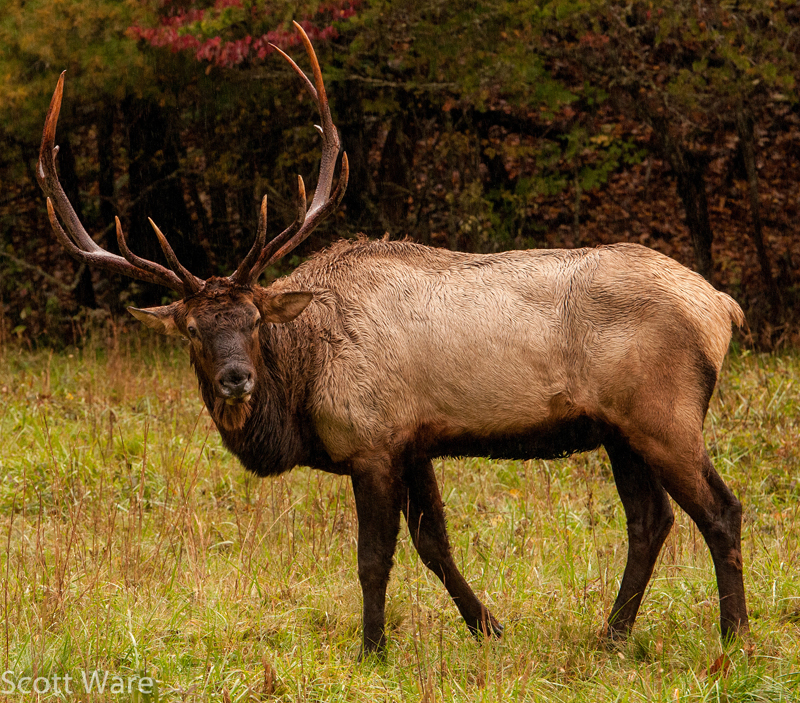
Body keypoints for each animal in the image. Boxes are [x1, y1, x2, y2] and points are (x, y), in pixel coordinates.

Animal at [38, 23, 748, 657]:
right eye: (192, 329)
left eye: (255, 320)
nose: (235, 379)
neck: (303, 389)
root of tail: (721, 307)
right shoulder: (416, 441)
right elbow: (435, 543)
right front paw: (489, 629)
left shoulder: (373, 442)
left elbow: (374, 557)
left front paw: (372, 648)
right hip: (619, 430)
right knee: (650, 521)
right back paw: (613, 636)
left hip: (663, 414)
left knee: (720, 510)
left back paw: (733, 635)